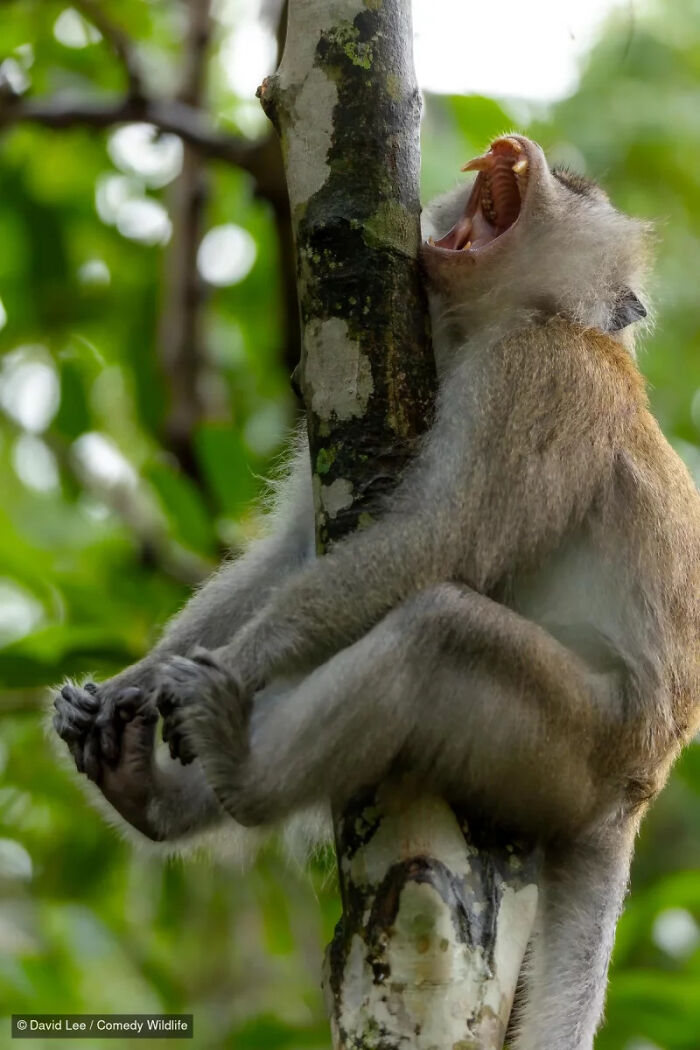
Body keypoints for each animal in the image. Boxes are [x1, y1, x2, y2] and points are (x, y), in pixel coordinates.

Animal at [53, 134, 700, 1050]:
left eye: (573, 187)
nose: (519, 148)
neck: (508, 319)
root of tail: (637, 794)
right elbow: (292, 554)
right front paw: (129, 686)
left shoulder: (541, 373)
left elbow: (439, 543)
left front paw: (229, 667)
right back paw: (150, 798)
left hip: (580, 746)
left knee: (437, 633)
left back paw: (242, 771)